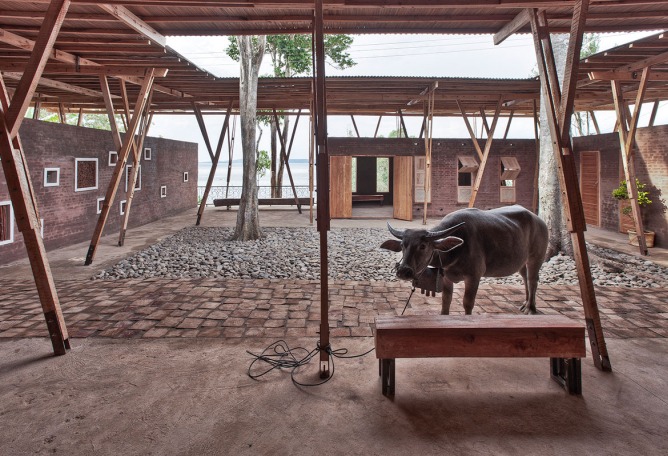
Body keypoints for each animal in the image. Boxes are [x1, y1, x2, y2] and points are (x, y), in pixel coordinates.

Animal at [380, 206, 548, 316]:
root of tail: (539, 220)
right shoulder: (446, 277)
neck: (455, 250)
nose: (403, 271)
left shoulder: (474, 277)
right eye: (403, 245)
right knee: (525, 277)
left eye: (423, 246)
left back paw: (531, 308)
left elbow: (468, 303)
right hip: (522, 261)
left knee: (533, 279)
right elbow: (446, 301)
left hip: (536, 257)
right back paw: (525, 303)